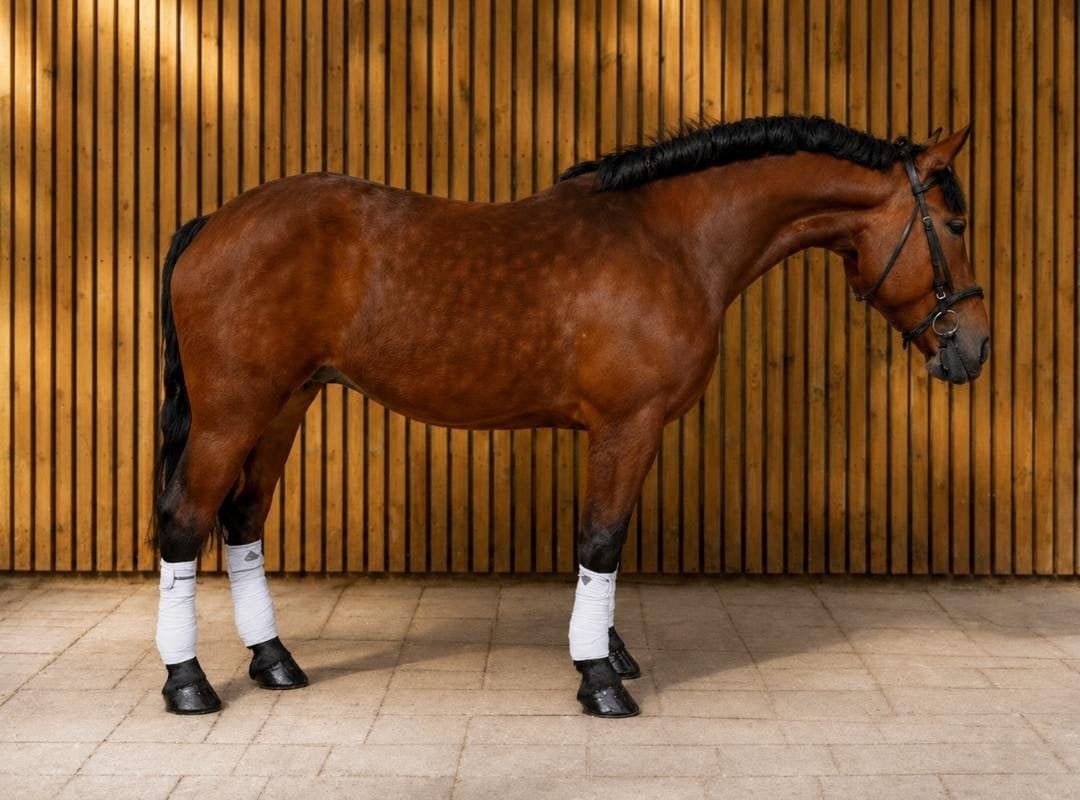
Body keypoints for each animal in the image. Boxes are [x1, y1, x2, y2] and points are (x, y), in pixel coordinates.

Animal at [150, 115, 989, 717]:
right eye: (954, 226)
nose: (974, 347)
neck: (673, 239)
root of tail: (212, 222)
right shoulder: (627, 425)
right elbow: (601, 541)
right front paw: (599, 678)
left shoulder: (627, 434)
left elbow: (606, 543)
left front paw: (610, 652)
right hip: (232, 414)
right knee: (186, 523)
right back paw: (188, 682)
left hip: (286, 404)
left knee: (244, 520)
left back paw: (275, 662)